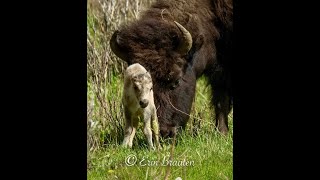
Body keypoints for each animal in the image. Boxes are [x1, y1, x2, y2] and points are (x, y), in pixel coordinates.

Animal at [110, 0, 232, 137]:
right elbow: (221, 100)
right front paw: (222, 132)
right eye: (136, 86)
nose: (165, 132)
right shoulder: (220, 74)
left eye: (176, 81)